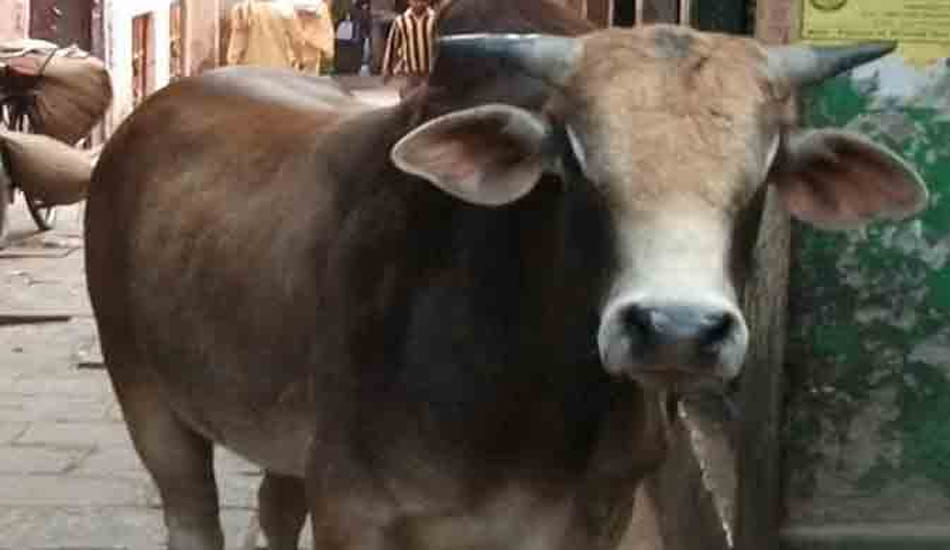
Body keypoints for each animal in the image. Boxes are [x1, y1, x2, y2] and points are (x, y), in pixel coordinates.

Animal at [84, 0, 928, 549]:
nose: (677, 329)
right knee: (191, 514)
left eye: (766, 163)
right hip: (147, 398)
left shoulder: (596, 516)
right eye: (574, 155)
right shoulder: (354, 508)